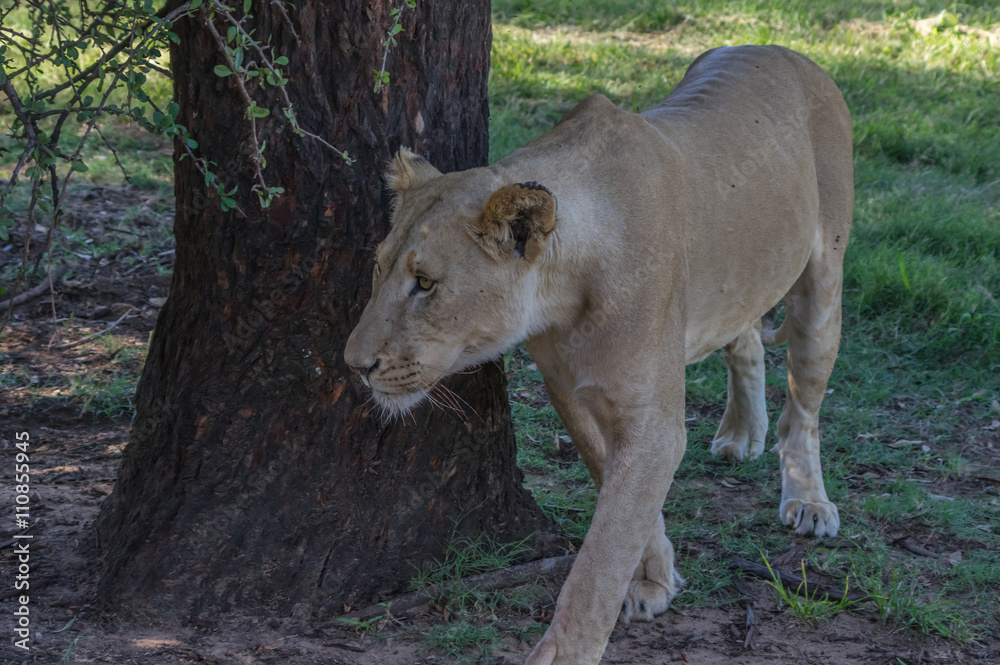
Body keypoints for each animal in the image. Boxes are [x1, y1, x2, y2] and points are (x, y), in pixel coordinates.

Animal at [344, 45, 853, 665]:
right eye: (379, 268)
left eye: (425, 283)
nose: (354, 365)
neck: (565, 292)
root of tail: (781, 50)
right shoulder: (568, 389)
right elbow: (613, 487)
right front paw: (654, 580)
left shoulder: (653, 421)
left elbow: (602, 551)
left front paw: (565, 651)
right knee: (745, 335)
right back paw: (740, 433)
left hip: (823, 285)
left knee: (803, 408)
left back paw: (808, 500)